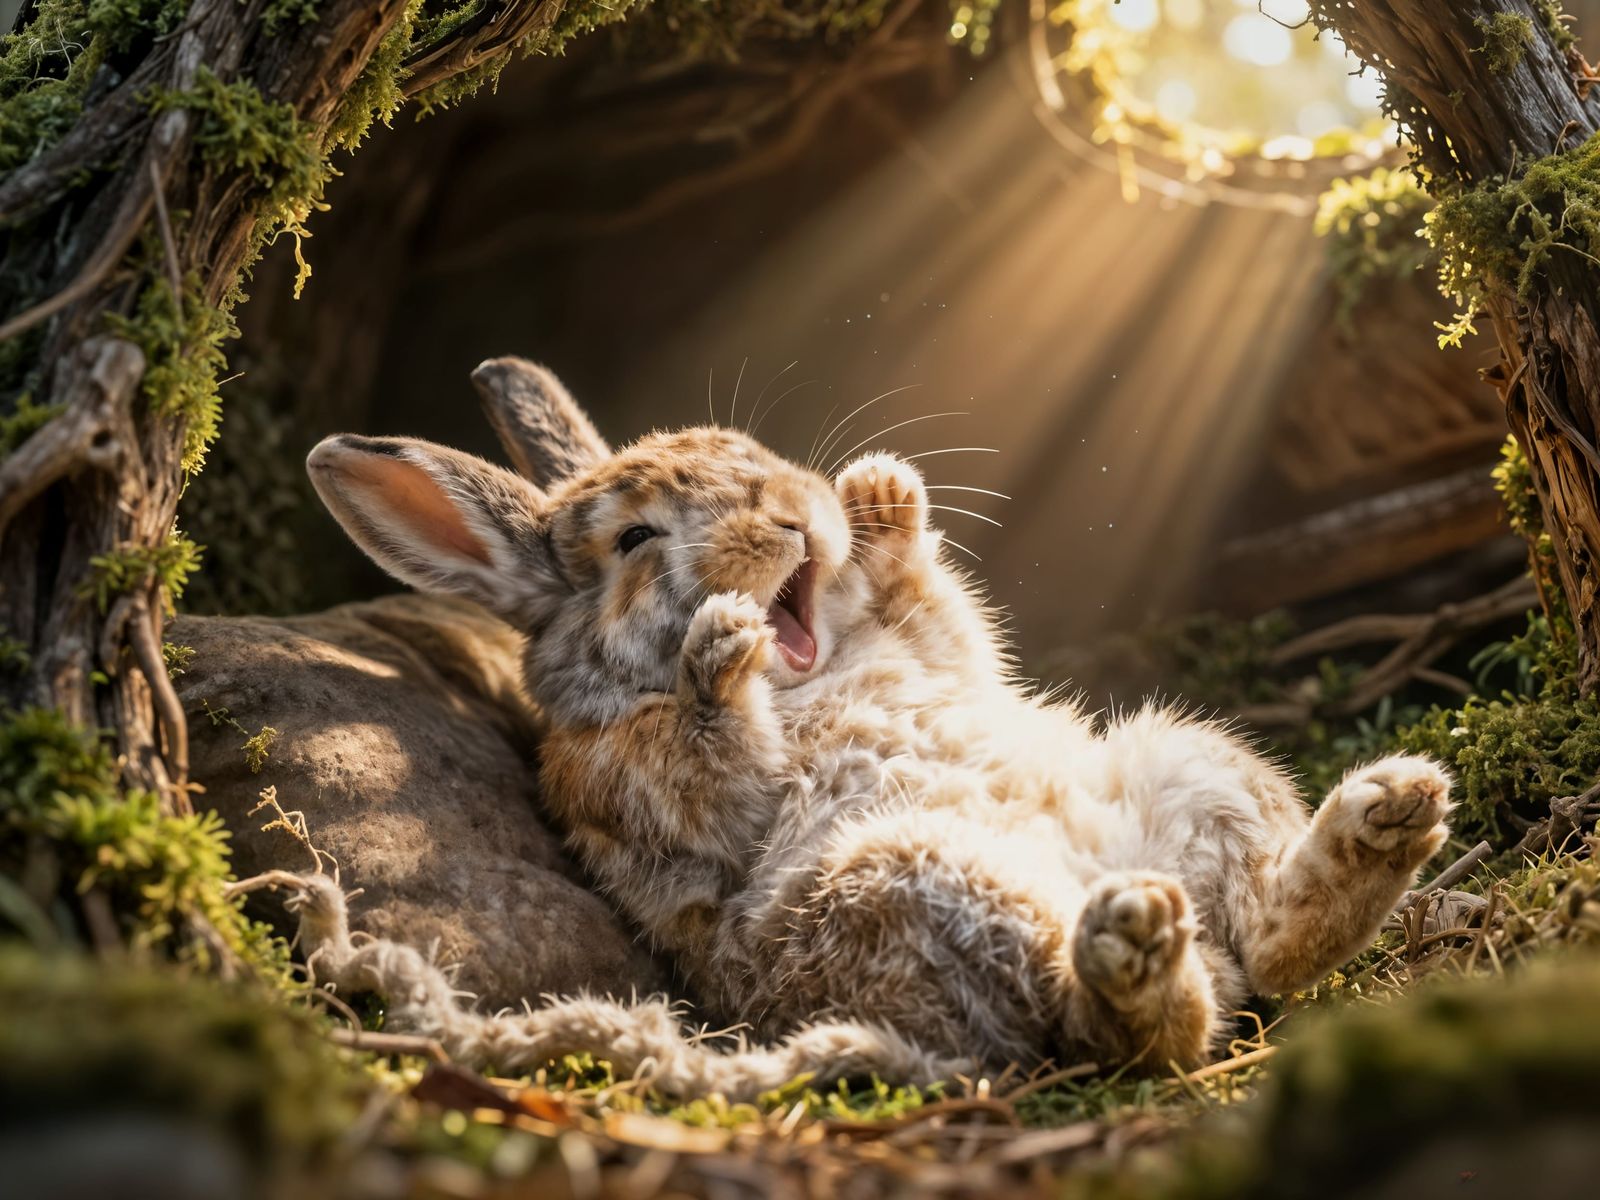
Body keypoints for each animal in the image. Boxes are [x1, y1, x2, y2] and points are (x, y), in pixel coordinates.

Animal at [305, 357, 1452, 1086]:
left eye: (749, 452)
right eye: (633, 538)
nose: (791, 518)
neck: (805, 675)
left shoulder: (941, 650)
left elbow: (943, 619)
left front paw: (884, 496)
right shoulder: (629, 785)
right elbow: (711, 773)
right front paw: (718, 650)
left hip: (1191, 763)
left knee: (1272, 953)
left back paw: (1386, 817)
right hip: (909, 882)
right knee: (1130, 1036)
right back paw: (1133, 946)